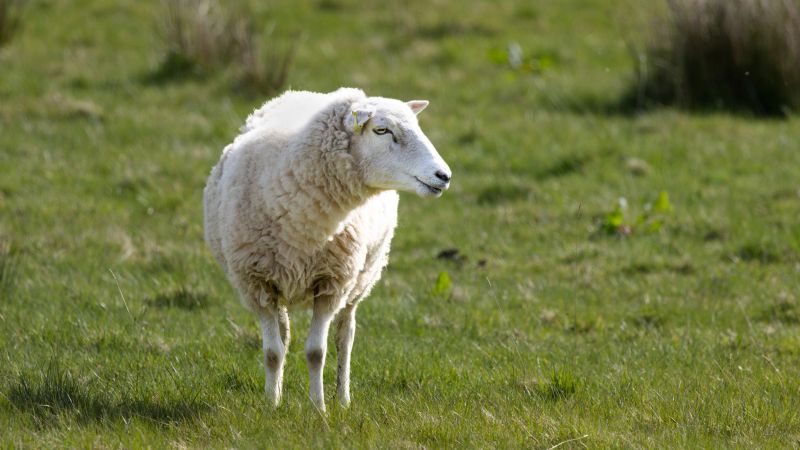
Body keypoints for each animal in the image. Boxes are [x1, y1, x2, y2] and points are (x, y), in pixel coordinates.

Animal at [203, 87, 452, 411]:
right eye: (381, 130)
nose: (443, 176)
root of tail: (309, 92)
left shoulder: (331, 284)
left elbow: (316, 351)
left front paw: (318, 408)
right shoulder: (257, 285)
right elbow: (272, 352)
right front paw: (271, 405)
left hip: (361, 279)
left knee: (345, 337)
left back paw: (342, 397)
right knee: (284, 336)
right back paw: (279, 392)